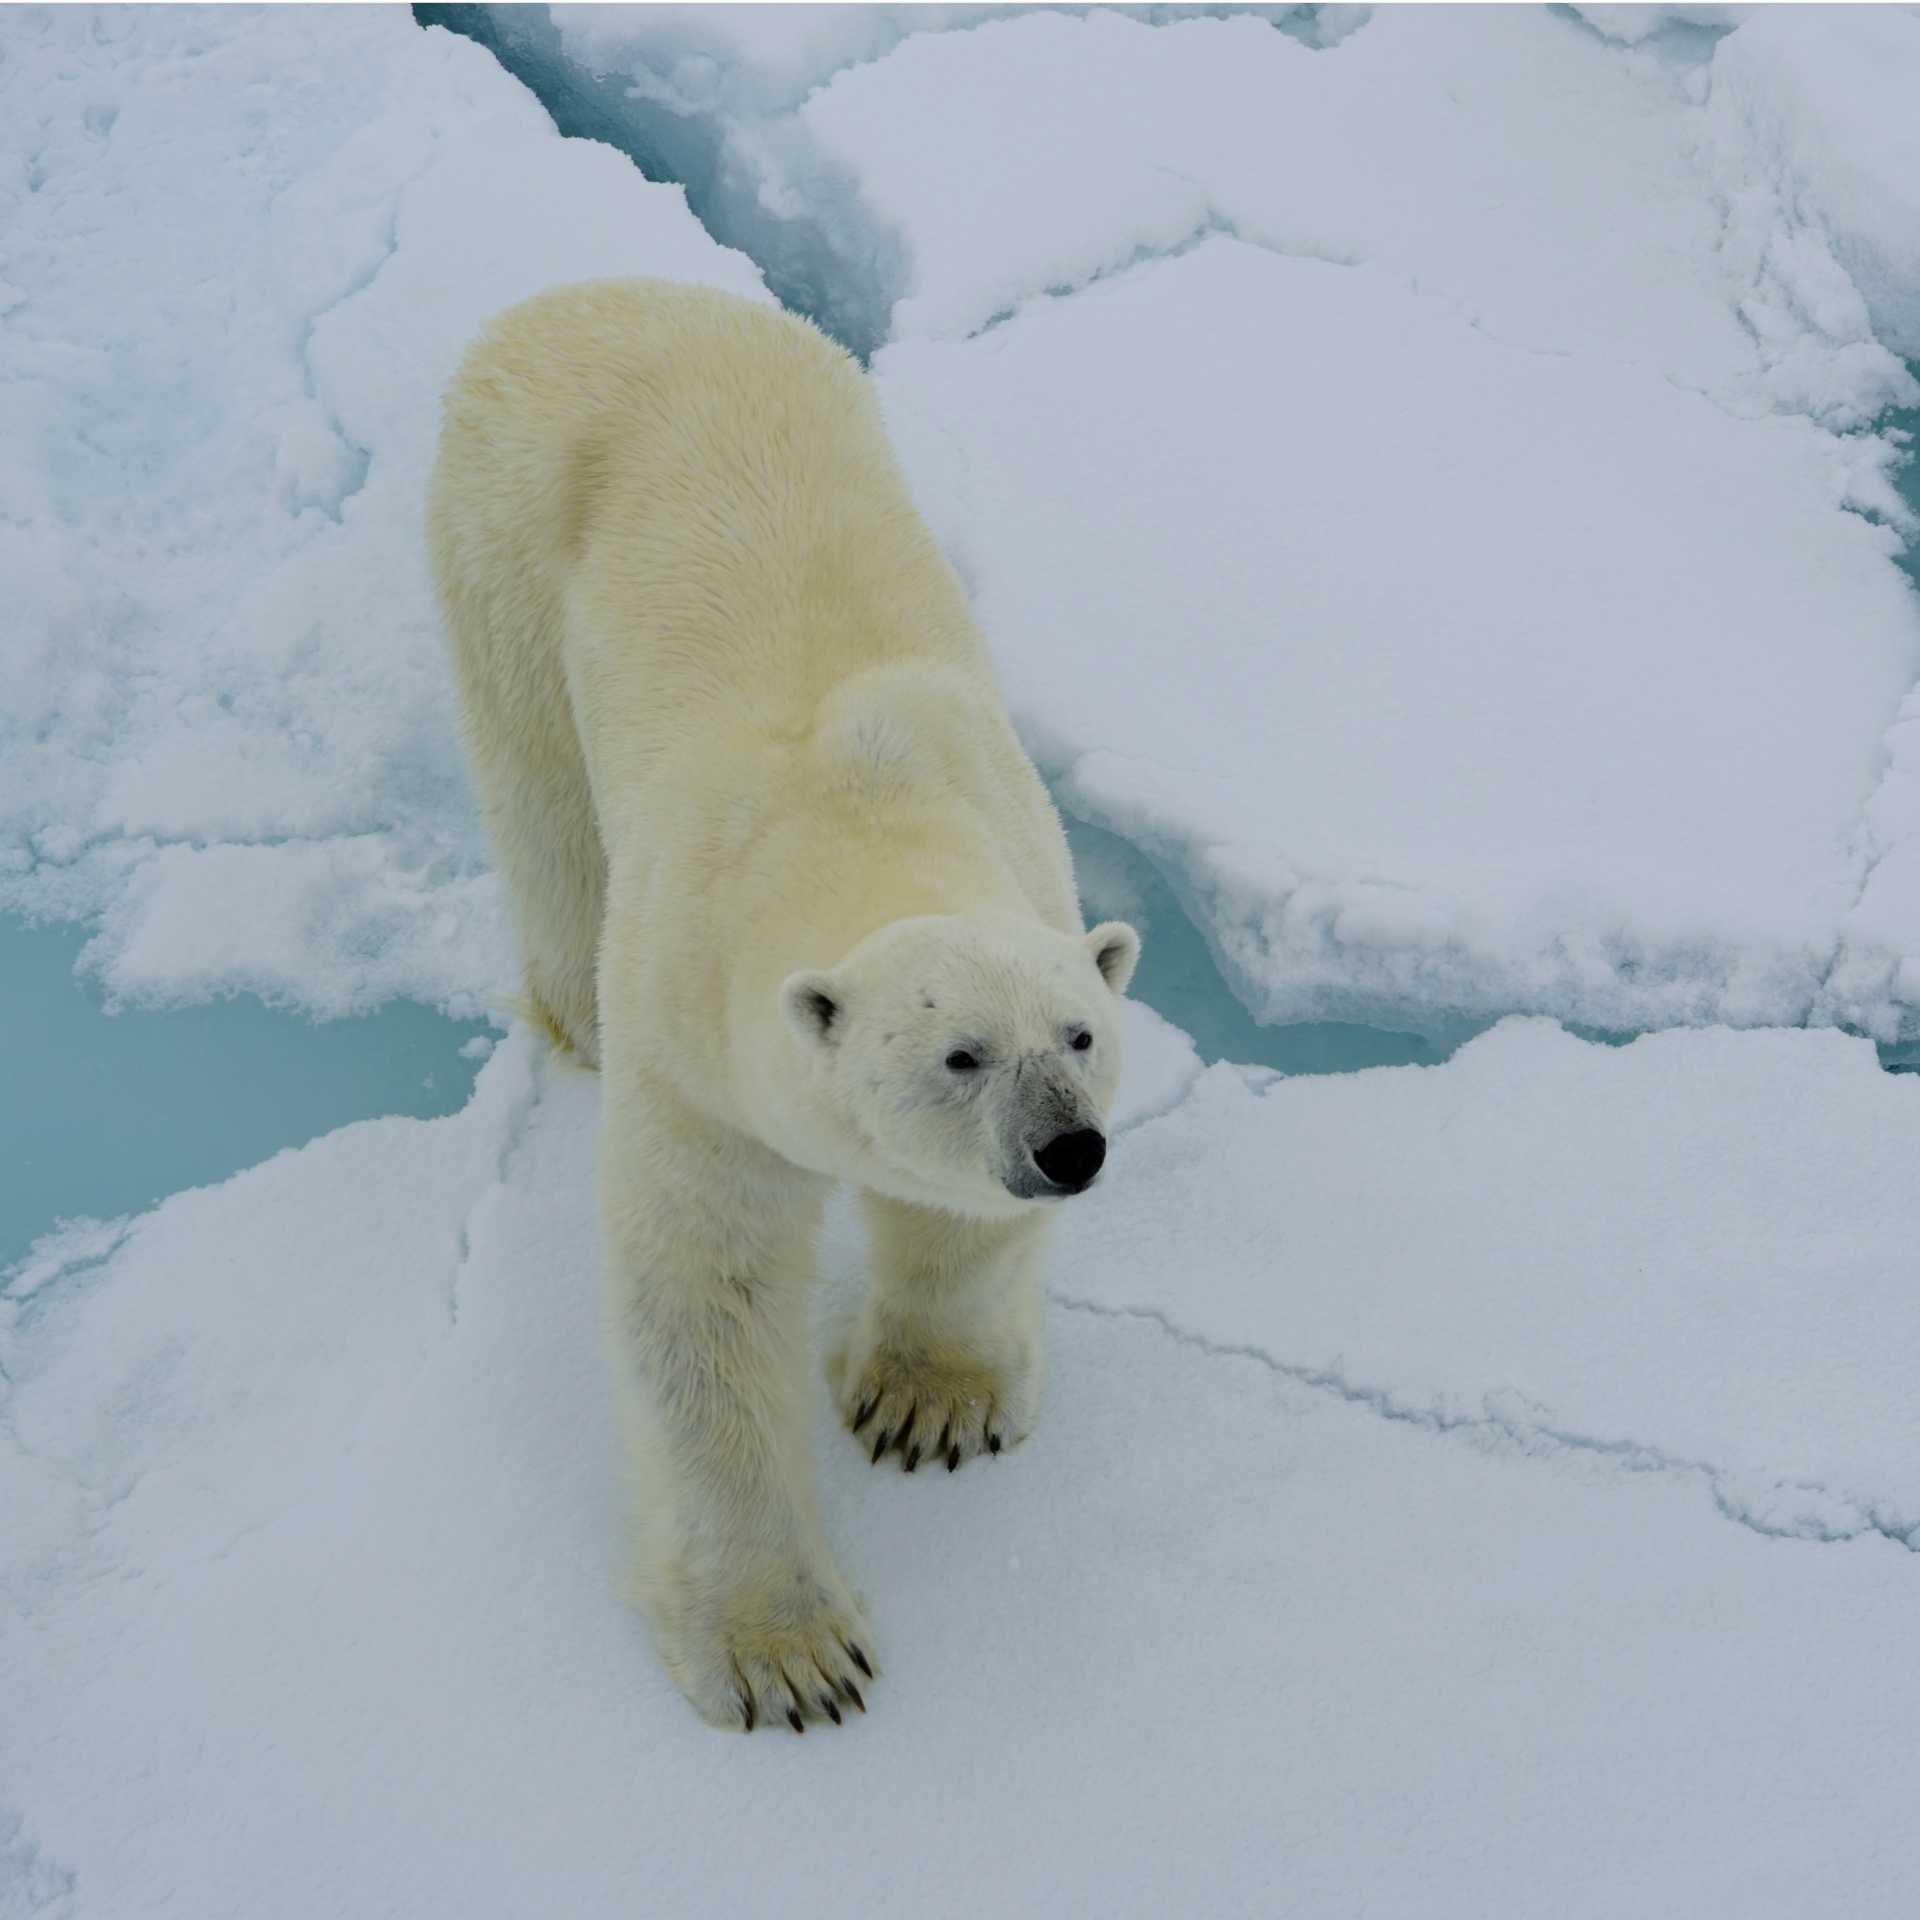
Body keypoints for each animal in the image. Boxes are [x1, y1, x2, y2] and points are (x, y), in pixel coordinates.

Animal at [427, 278, 1139, 1734]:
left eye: (1079, 1037)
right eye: (959, 1055)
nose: (1069, 1149)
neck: (850, 812)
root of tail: (578, 295)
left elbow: (954, 1230)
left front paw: (929, 1413)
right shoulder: (694, 1052)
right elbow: (705, 1299)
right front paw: (790, 1657)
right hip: (505, 543)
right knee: (540, 798)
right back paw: (566, 1000)